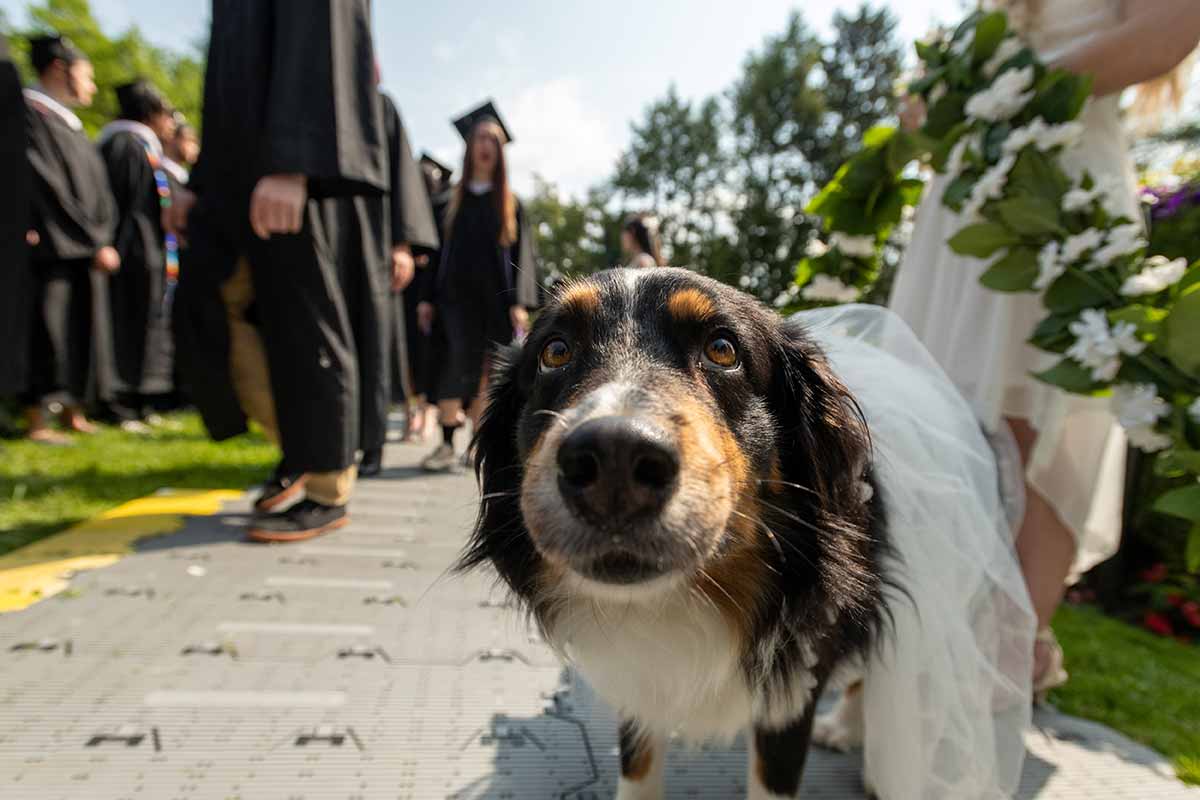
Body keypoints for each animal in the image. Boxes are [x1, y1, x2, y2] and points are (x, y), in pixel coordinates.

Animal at [453, 271, 897, 800]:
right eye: (555, 351)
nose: (615, 460)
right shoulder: (639, 678)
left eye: (723, 349)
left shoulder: (794, 685)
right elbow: (638, 764)